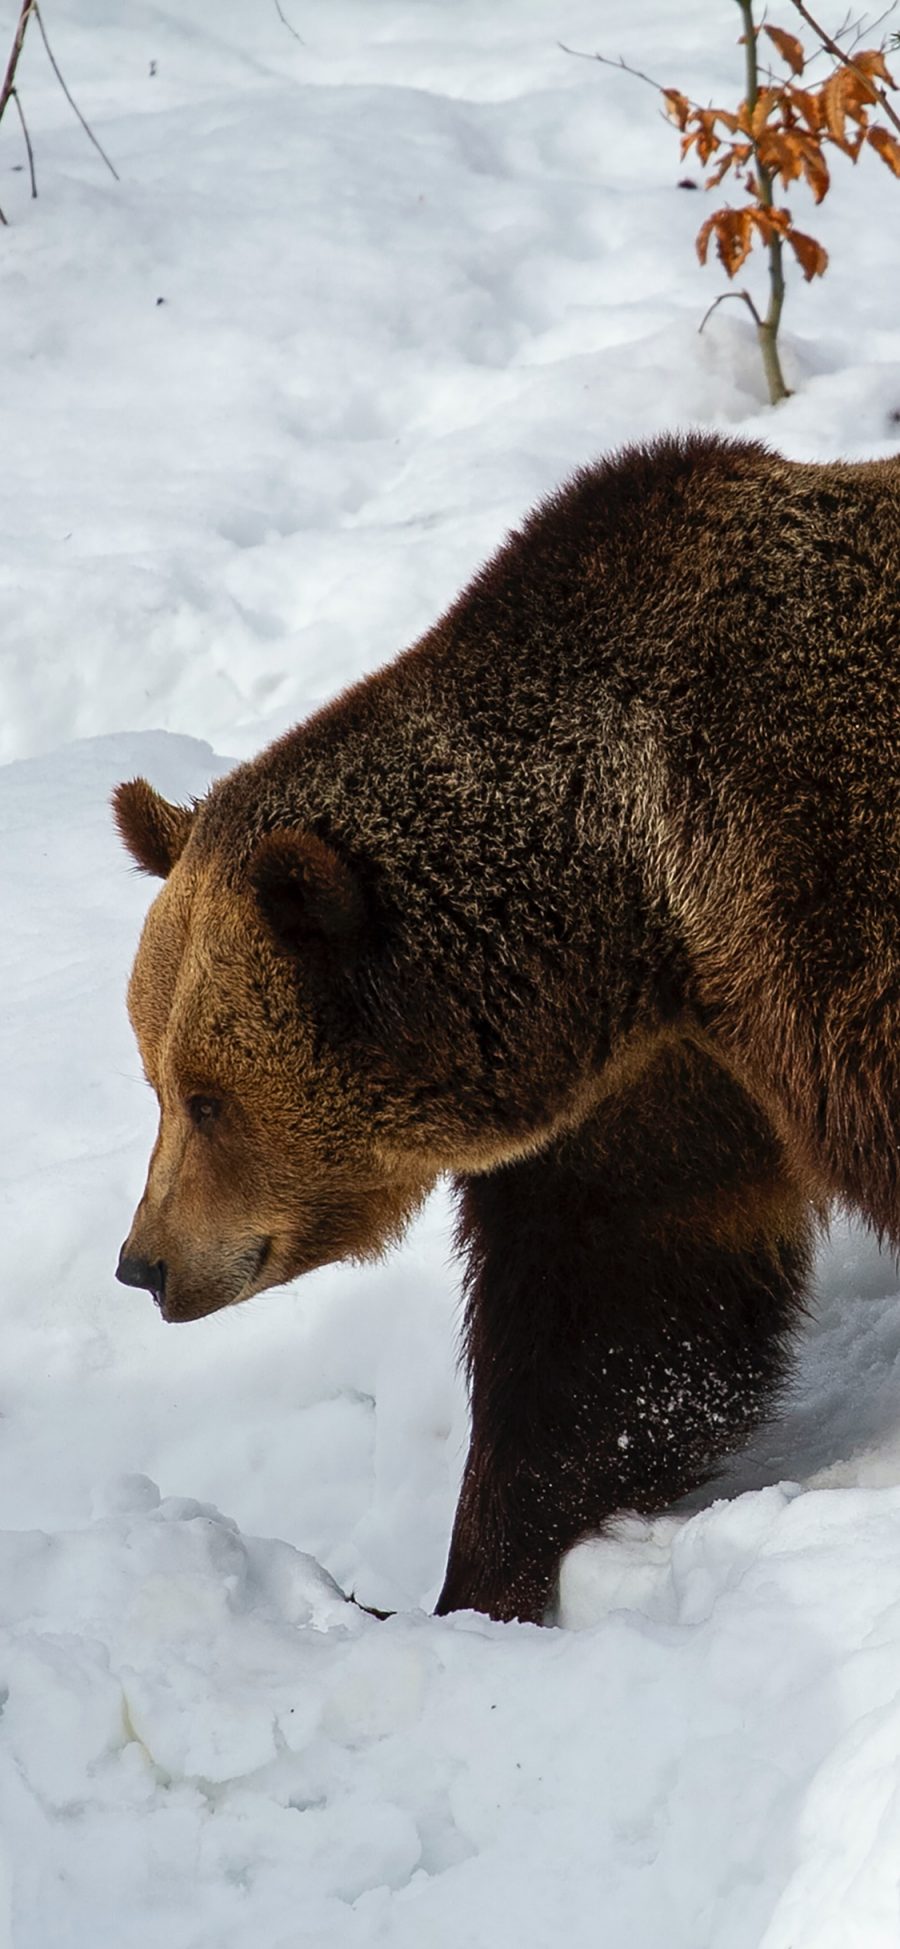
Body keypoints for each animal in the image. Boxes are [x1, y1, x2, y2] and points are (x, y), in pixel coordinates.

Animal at [112, 430, 900, 1629]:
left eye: (210, 1096)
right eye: (153, 1078)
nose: (143, 1261)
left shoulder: (816, 887)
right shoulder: (661, 1073)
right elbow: (620, 1311)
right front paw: (473, 1581)